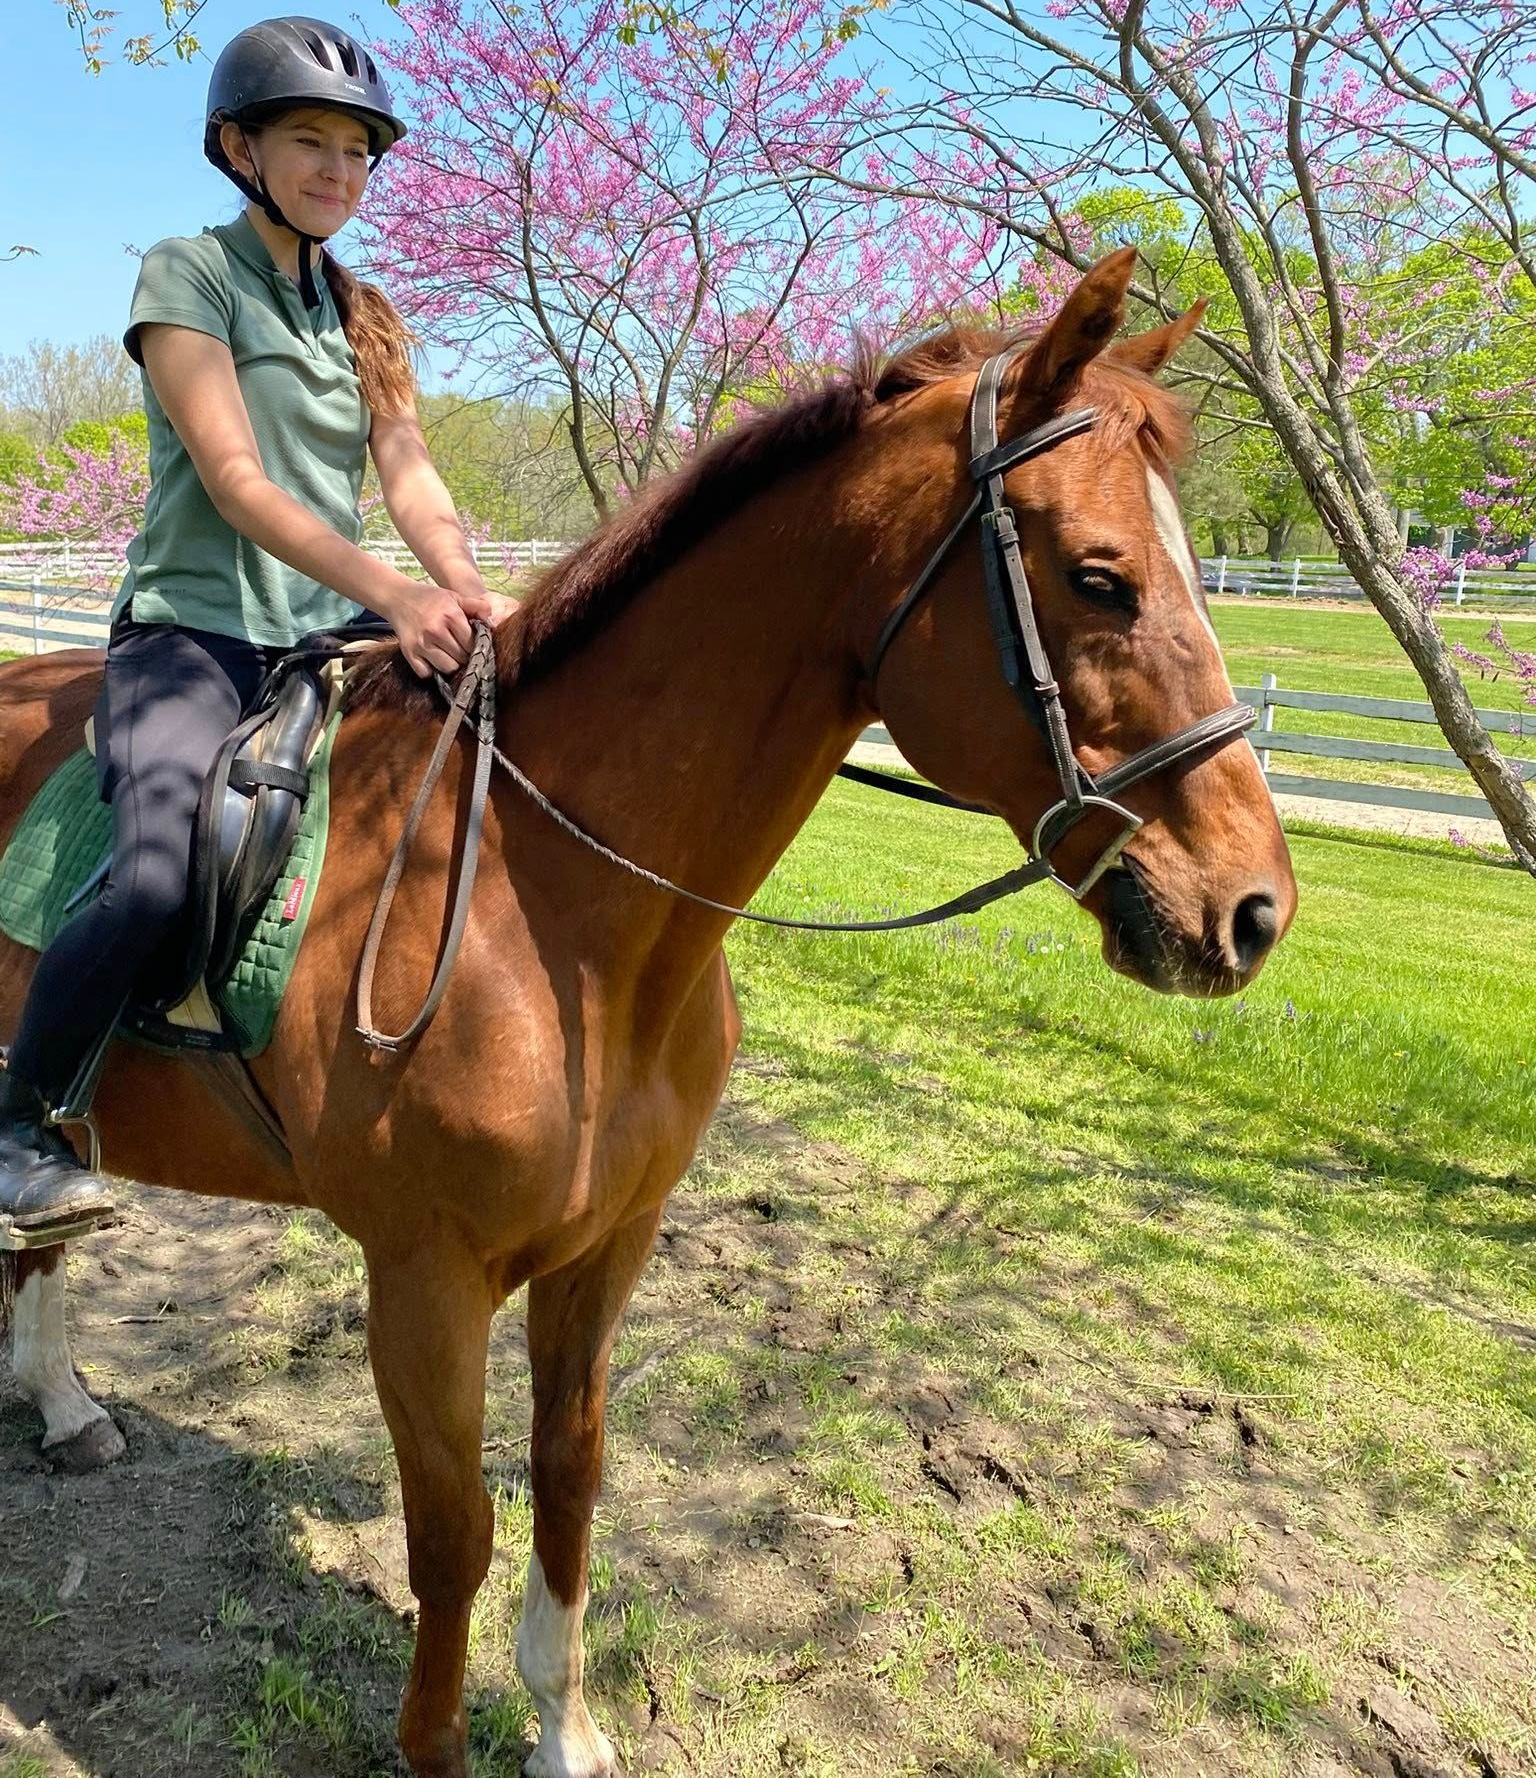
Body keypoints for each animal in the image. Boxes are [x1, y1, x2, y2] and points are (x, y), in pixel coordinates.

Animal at [0, 249, 1295, 1778]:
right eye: (1100, 577)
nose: (1253, 910)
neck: (541, 895)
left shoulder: (608, 1245)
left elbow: (570, 1479)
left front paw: (564, 1728)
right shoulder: (423, 1278)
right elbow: (454, 1532)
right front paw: (436, 1744)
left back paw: (64, 1404)